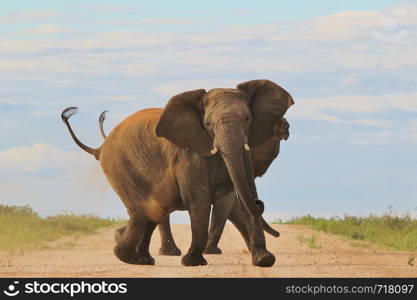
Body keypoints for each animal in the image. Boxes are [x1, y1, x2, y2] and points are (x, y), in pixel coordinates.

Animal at [61, 79, 294, 268]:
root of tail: (101, 148)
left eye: (247, 118)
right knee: (143, 212)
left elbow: (235, 197)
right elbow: (202, 199)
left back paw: (142, 258)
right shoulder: (188, 154)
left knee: (153, 213)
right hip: (120, 167)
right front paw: (194, 262)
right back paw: (127, 253)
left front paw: (264, 260)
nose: (260, 203)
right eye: (208, 124)